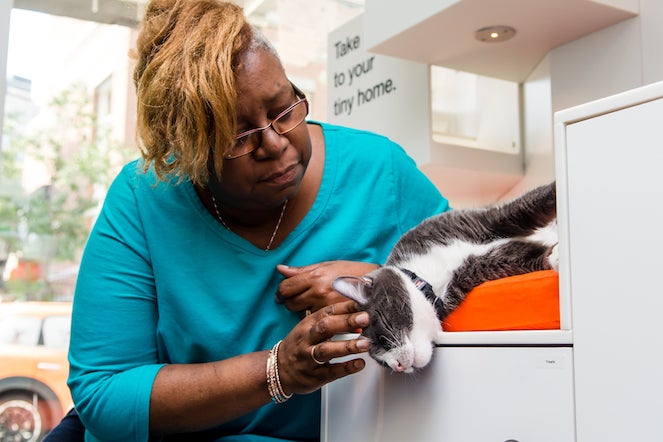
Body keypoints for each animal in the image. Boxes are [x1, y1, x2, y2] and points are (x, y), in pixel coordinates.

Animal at [334, 182, 556, 372]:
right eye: (381, 363)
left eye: (382, 337)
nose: (397, 366)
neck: (428, 271)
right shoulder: (474, 268)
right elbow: (514, 258)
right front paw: (553, 256)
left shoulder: (472, 221)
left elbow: (520, 208)